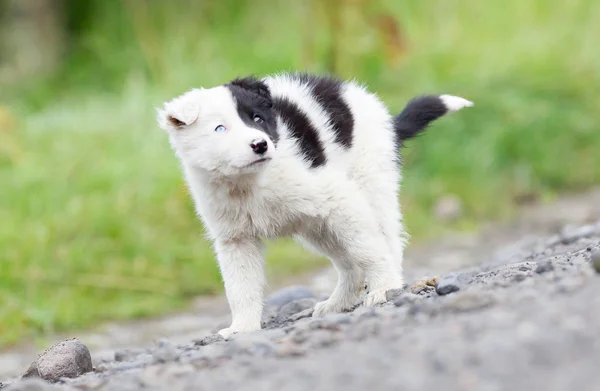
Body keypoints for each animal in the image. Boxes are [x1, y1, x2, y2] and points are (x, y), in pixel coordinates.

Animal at [156, 72, 474, 336]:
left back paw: (388, 285)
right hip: (317, 227)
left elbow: (368, 248)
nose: (260, 145)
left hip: (370, 183)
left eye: (257, 119)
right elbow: (240, 286)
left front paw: (383, 287)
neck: (249, 183)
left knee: (385, 240)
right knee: (348, 264)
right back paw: (338, 303)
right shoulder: (235, 240)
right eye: (220, 129)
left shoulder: (338, 196)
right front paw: (241, 328)